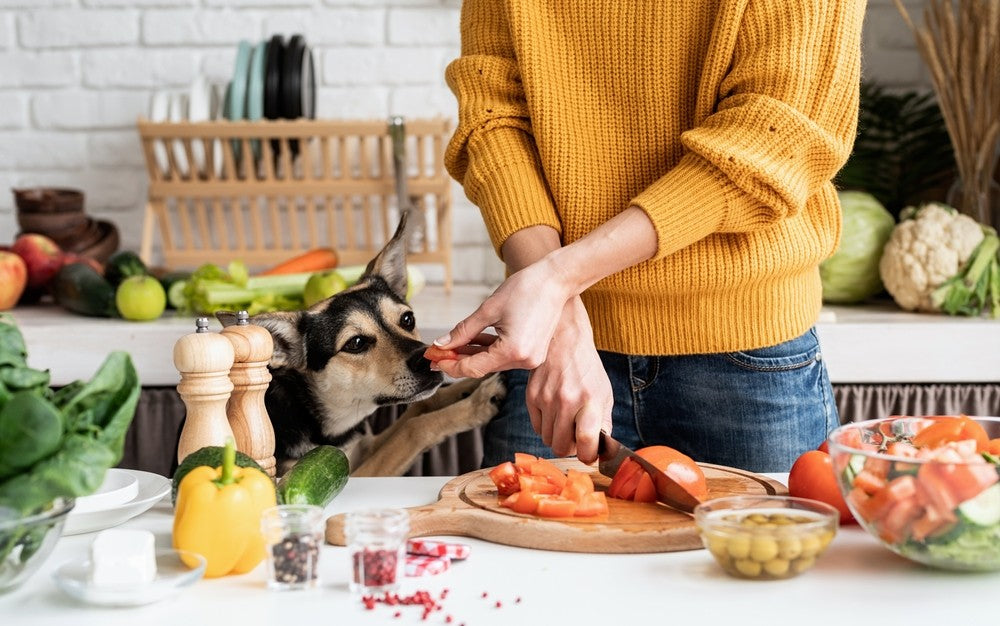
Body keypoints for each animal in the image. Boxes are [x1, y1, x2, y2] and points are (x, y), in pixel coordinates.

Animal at [217, 217, 500, 476]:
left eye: (407, 319)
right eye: (356, 343)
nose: (426, 359)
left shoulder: (364, 446)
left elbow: (420, 407)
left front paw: (469, 386)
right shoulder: (352, 473)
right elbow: (414, 429)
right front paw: (476, 405)